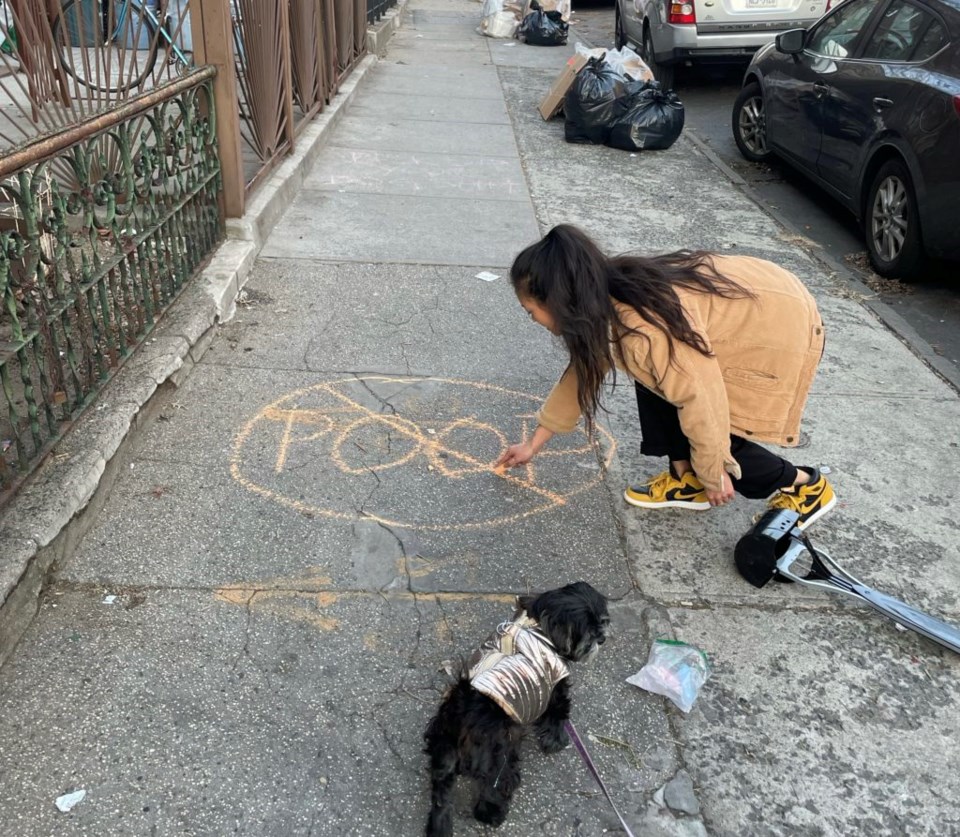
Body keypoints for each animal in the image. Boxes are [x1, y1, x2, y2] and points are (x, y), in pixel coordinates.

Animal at [422, 580, 608, 836]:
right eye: (589, 628)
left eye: (601, 621)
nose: (601, 638)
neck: (537, 626)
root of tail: (463, 711)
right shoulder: (555, 686)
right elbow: (558, 713)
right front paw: (556, 740)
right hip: (499, 755)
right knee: (495, 786)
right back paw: (493, 814)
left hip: (444, 751)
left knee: (441, 796)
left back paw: (439, 827)